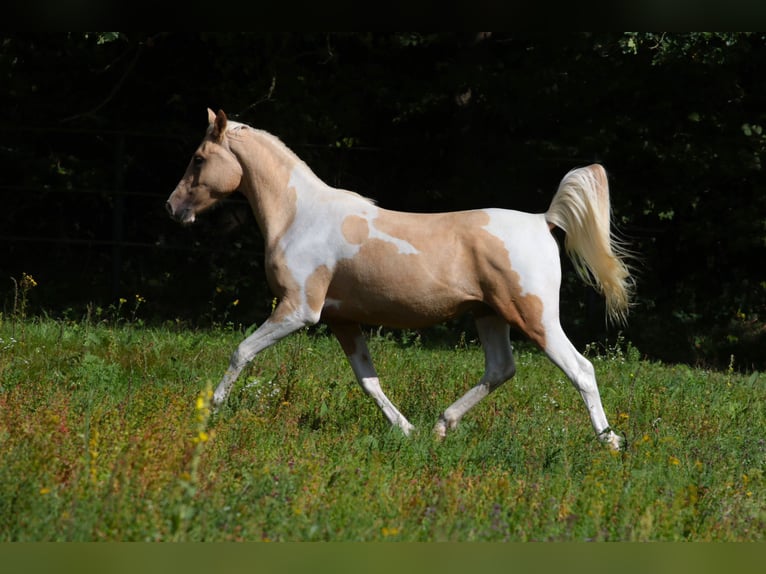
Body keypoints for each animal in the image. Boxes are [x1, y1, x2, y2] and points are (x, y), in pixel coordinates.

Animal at [166, 108, 633, 450]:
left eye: (199, 158)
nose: (172, 207)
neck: (300, 216)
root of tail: (543, 221)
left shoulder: (298, 310)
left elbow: (241, 351)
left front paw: (211, 409)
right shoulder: (341, 320)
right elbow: (368, 380)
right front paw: (405, 430)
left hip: (535, 318)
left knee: (581, 370)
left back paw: (610, 443)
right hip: (489, 315)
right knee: (501, 368)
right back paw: (442, 426)